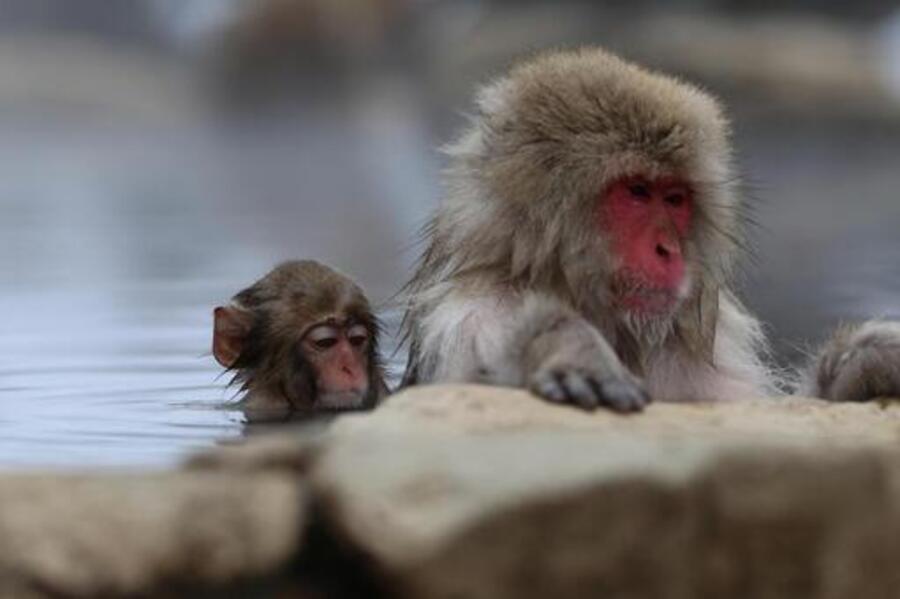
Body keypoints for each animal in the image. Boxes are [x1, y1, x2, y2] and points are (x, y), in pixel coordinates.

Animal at [401, 47, 900, 412]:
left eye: (674, 199)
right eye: (637, 192)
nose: (668, 250)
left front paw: (863, 362)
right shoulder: (476, 318)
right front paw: (564, 344)